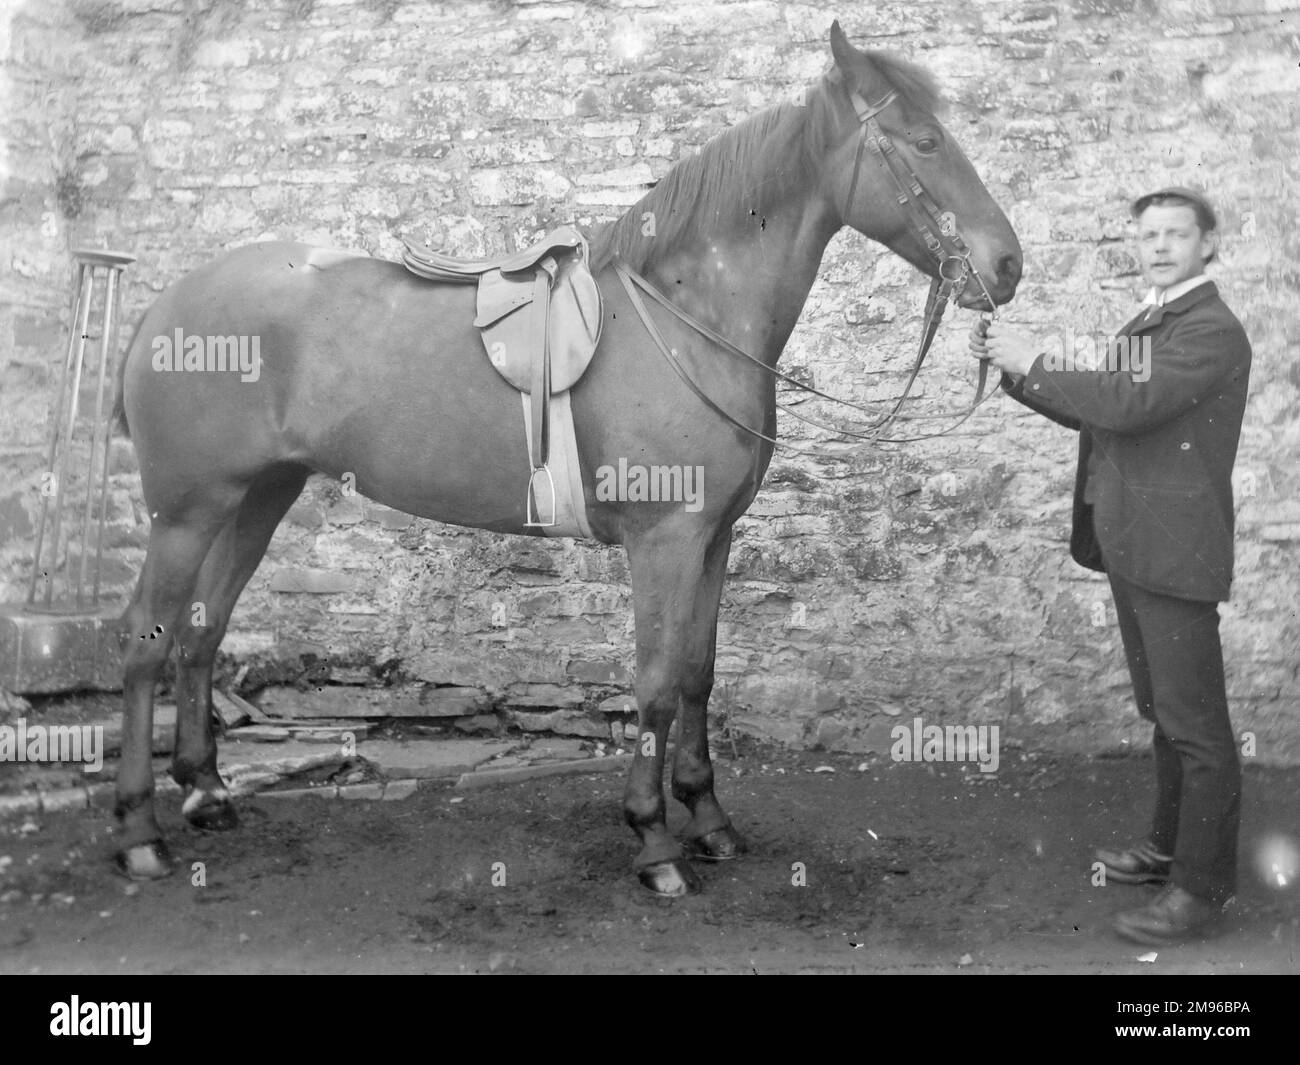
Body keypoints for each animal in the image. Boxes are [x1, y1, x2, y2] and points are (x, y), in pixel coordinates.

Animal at [109, 21, 1021, 895]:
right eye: (924, 140)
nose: (1007, 263)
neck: (691, 317)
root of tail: (166, 303)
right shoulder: (665, 543)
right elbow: (656, 681)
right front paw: (655, 840)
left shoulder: (714, 538)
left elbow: (699, 672)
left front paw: (710, 817)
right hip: (186, 513)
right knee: (148, 638)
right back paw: (139, 831)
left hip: (260, 496)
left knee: (202, 630)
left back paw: (207, 793)